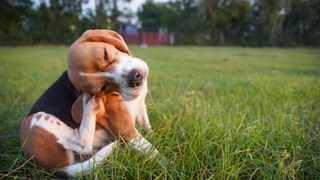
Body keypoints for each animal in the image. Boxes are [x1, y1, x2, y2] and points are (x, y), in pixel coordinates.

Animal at [20, 29, 164, 177]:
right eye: (103, 87)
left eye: (105, 55)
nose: (135, 79)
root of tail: (57, 169)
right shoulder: (126, 131)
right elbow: (154, 153)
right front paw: (168, 165)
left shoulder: (140, 108)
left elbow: (148, 128)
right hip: (35, 119)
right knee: (81, 143)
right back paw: (89, 105)